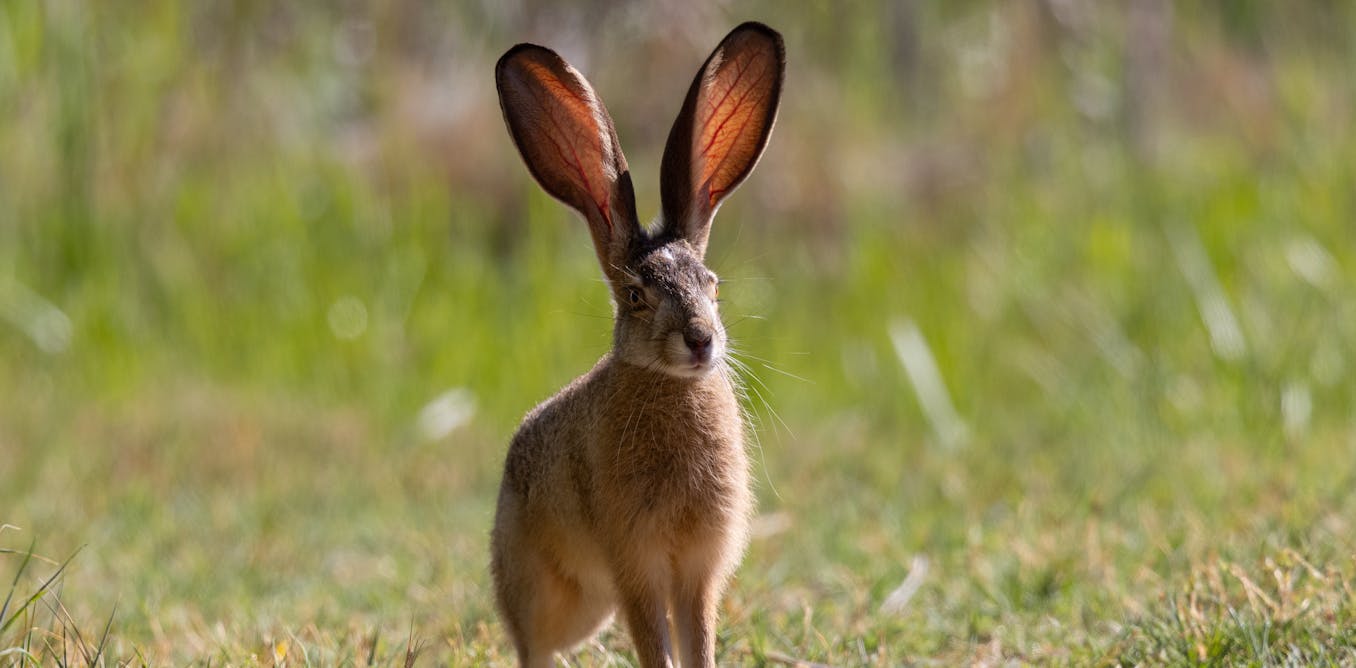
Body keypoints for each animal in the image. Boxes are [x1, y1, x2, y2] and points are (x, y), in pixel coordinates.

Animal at [489, 21, 785, 668]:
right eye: (635, 296)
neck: (672, 386)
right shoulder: (636, 566)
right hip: (539, 586)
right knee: (532, 645)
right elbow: (656, 644)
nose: (700, 340)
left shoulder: (696, 572)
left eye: (713, 286)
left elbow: (698, 640)